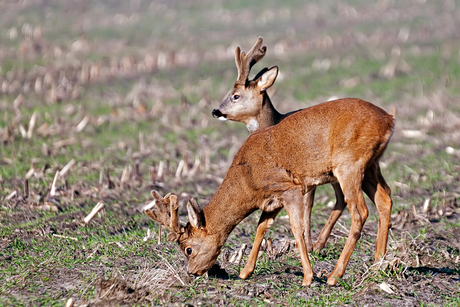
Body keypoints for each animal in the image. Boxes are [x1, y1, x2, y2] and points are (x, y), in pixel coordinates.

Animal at [145, 96, 396, 286]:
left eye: (187, 249)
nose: (192, 273)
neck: (248, 179)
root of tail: (389, 119)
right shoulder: (272, 199)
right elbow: (261, 227)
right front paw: (245, 272)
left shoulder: (290, 188)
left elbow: (297, 229)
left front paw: (308, 277)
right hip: (371, 165)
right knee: (385, 199)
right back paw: (377, 264)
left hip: (350, 165)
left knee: (360, 212)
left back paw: (335, 275)